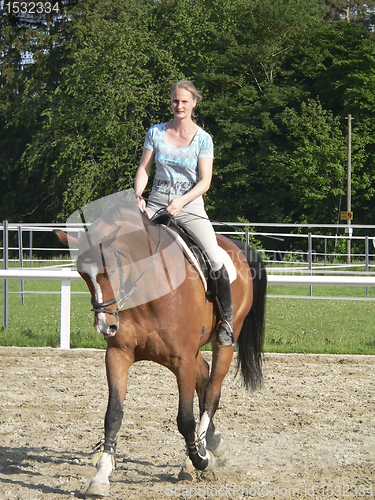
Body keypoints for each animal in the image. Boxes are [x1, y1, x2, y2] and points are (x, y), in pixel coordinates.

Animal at [55, 190, 268, 496]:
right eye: (83, 274)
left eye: (113, 268)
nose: (105, 326)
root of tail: (236, 246)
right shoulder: (118, 354)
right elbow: (113, 414)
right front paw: (100, 477)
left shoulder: (182, 360)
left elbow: (185, 418)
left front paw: (200, 460)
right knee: (204, 377)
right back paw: (211, 441)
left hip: (225, 340)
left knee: (212, 390)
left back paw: (199, 453)